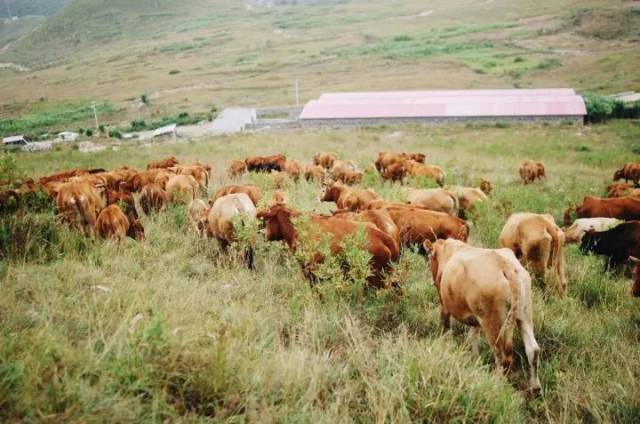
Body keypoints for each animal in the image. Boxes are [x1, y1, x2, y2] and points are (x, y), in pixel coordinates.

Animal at [424, 240, 540, 392]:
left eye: (430, 257)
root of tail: (505, 265)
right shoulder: (475, 319)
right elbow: (473, 338)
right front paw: (474, 360)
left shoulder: (444, 306)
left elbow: (446, 331)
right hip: (524, 314)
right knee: (533, 350)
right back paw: (535, 387)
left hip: (491, 322)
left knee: (502, 356)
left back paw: (498, 384)